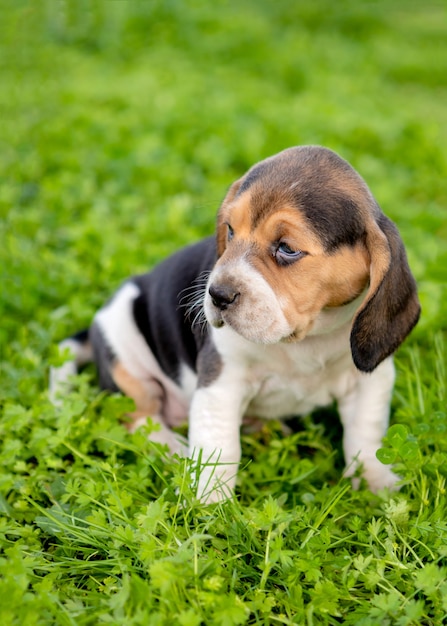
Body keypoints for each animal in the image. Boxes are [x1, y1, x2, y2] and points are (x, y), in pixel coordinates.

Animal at [50, 146, 422, 502]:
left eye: (287, 249)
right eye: (229, 230)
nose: (217, 294)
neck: (305, 339)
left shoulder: (370, 381)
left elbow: (366, 437)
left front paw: (378, 487)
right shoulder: (221, 382)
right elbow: (218, 446)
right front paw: (209, 506)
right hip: (125, 354)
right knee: (141, 419)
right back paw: (176, 451)